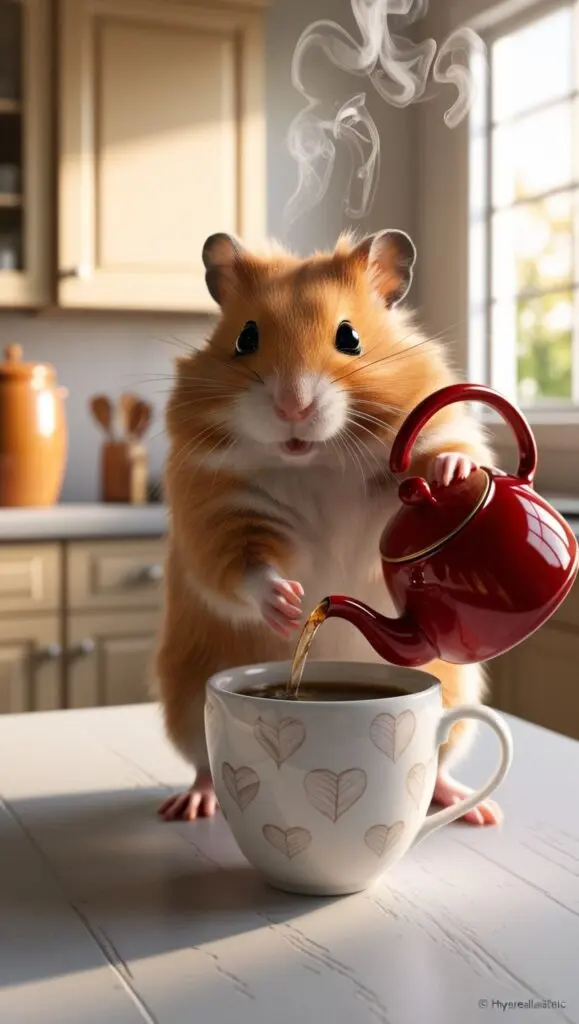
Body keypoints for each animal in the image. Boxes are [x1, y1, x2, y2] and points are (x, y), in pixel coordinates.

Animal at [155, 228, 500, 827]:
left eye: (350, 337)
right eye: (246, 337)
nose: (292, 406)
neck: (312, 459)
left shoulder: (421, 449)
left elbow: (445, 452)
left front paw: (451, 473)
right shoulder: (217, 511)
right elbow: (243, 568)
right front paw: (289, 604)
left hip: (455, 691)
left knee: (441, 762)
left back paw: (476, 810)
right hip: (187, 701)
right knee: (202, 764)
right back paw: (190, 806)